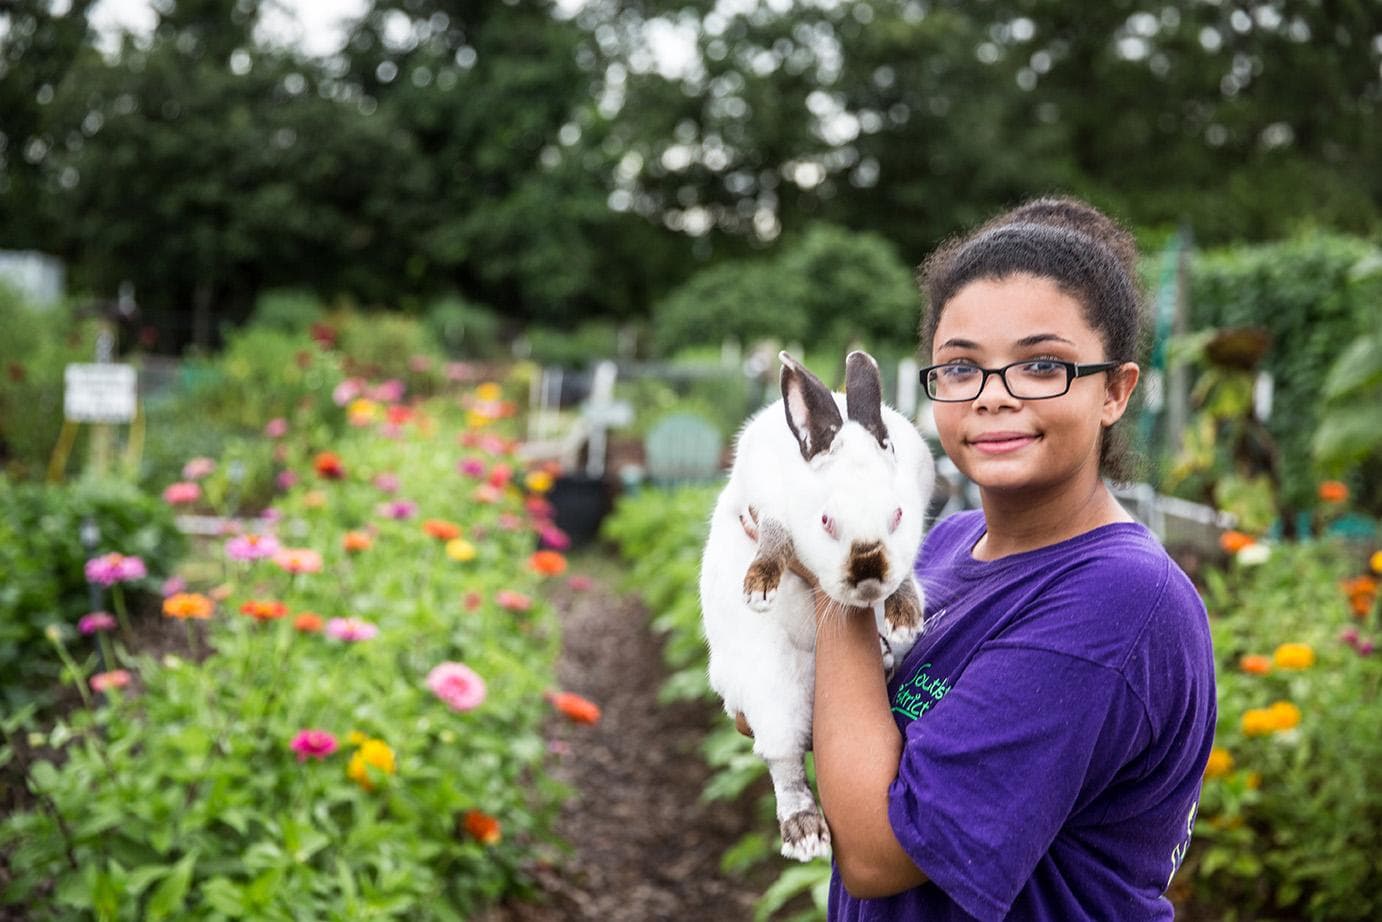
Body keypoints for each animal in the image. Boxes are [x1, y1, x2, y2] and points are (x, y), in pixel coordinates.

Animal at [696, 349, 934, 862]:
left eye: (898, 515)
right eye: (826, 521)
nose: (868, 572)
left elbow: (908, 569)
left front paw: (904, 614)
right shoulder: (763, 498)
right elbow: (775, 536)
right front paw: (759, 586)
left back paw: (885, 653)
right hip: (771, 693)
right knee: (784, 762)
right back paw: (804, 833)